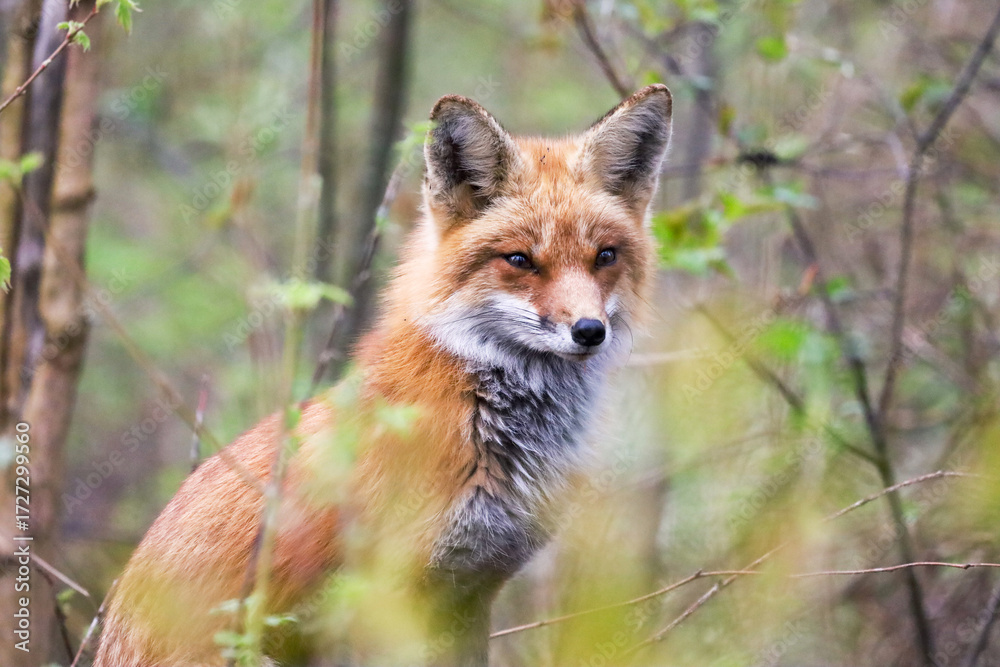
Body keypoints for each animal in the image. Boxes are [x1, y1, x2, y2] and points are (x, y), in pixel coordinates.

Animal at [93, 83, 672, 667]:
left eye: (605, 256)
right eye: (519, 260)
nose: (589, 331)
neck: (484, 422)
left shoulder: (471, 592)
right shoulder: (387, 599)